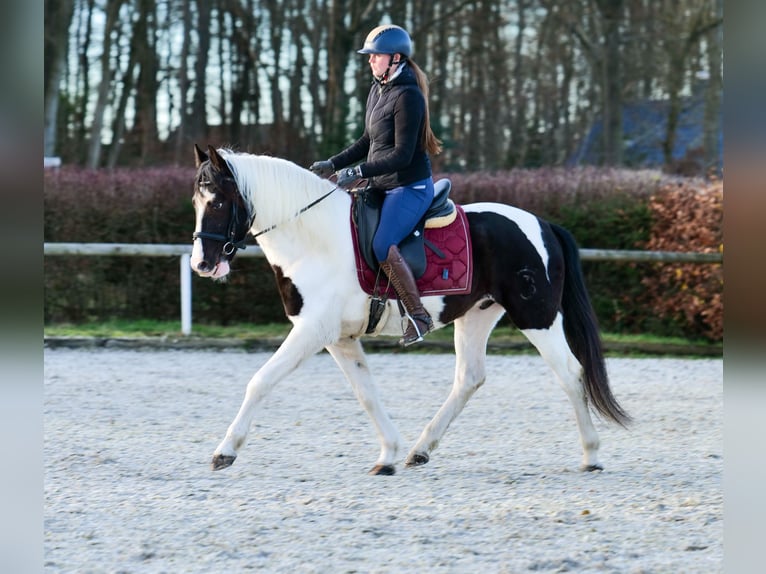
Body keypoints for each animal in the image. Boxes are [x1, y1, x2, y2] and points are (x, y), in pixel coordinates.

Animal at [188, 147, 632, 476]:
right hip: (477, 315)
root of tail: (542, 223)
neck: (314, 239)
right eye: (196, 201)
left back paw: (591, 455)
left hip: (536, 317)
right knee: (470, 378)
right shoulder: (339, 338)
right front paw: (387, 454)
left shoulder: (313, 331)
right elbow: (366, 393)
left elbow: (260, 381)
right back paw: (420, 449)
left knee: (571, 373)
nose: (202, 264)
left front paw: (225, 451)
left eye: (220, 200)